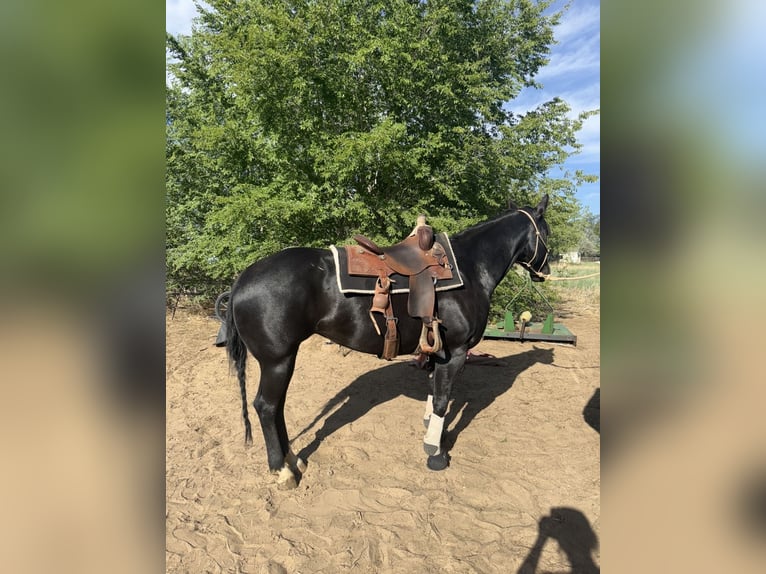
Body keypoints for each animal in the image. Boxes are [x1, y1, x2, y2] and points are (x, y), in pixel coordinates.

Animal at [225, 195, 551, 488]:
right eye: (546, 233)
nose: (546, 271)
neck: (470, 268)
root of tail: (242, 279)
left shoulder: (438, 352)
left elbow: (434, 391)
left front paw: (432, 433)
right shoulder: (456, 352)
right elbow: (442, 401)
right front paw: (435, 453)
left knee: (277, 407)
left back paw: (293, 460)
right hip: (277, 361)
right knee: (267, 407)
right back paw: (282, 471)